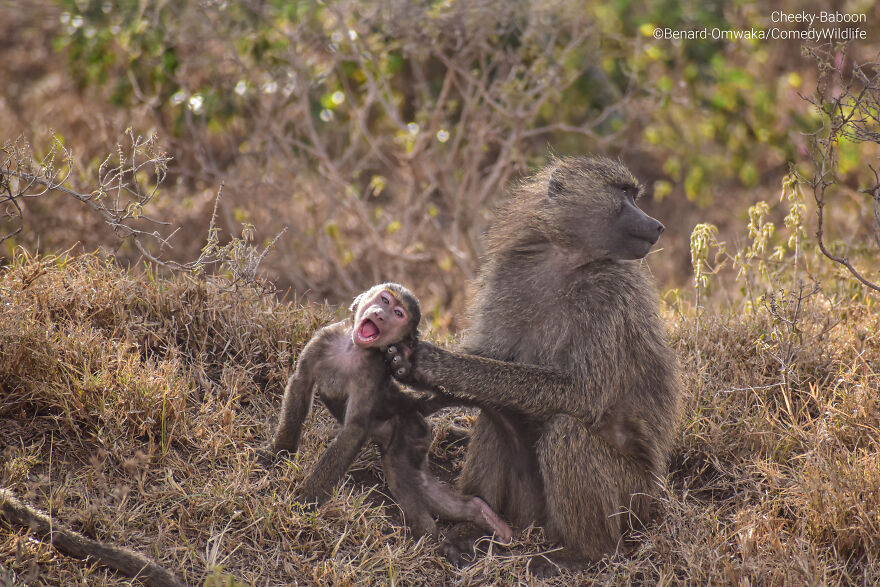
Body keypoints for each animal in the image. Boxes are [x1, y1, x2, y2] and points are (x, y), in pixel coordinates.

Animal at [269, 283, 512, 542]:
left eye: (398, 314)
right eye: (384, 300)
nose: (379, 314)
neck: (351, 348)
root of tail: (408, 404)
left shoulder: (372, 370)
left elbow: (354, 428)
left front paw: (307, 500)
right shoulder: (322, 339)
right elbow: (300, 385)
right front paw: (279, 453)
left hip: (410, 430)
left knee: (401, 477)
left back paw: (426, 532)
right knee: (418, 482)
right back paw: (479, 512)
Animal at [387, 156, 681, 574]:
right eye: (624, 194)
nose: (656, 225)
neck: (566, 260)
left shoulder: (614, 296)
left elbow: (582, 393)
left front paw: (435, 364)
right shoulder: (509, 276)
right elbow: (490, 353)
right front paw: (414, 371)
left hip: (633, 502)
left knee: (565, 432)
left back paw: (582, 555)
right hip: (530, 506)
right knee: (496, 419)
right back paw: (473, 530)